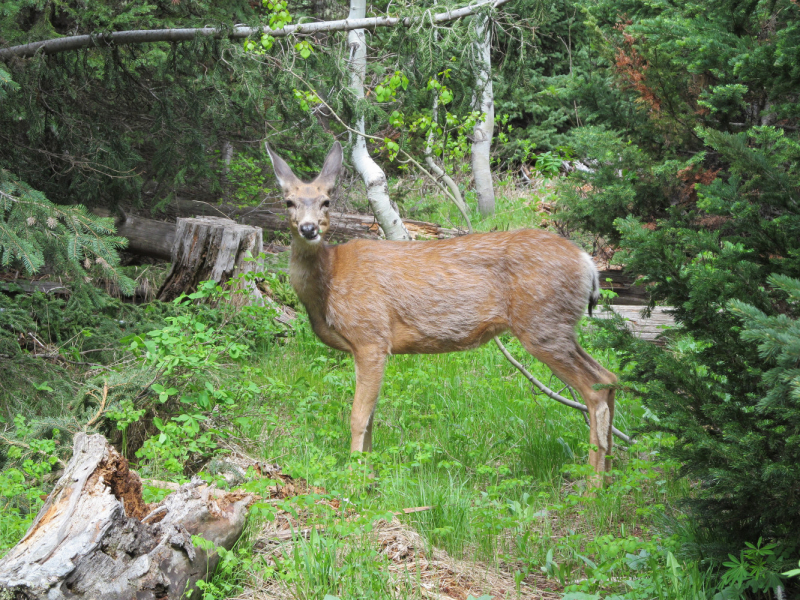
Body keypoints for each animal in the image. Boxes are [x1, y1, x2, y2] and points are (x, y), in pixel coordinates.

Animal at [268, 143, 620, 486]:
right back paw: (608, 478)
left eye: (326, 201)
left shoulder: (370, 337)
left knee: (594, 390)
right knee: (609, 378)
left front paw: (354, 480)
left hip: (541, 325)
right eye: (289, 201)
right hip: (558, 327)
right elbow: (371, 417)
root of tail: (588, 263)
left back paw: (593, 486)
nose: (309, 228)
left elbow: (357, 417)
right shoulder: (371, 346)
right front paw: (369, 477)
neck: (329, 281)